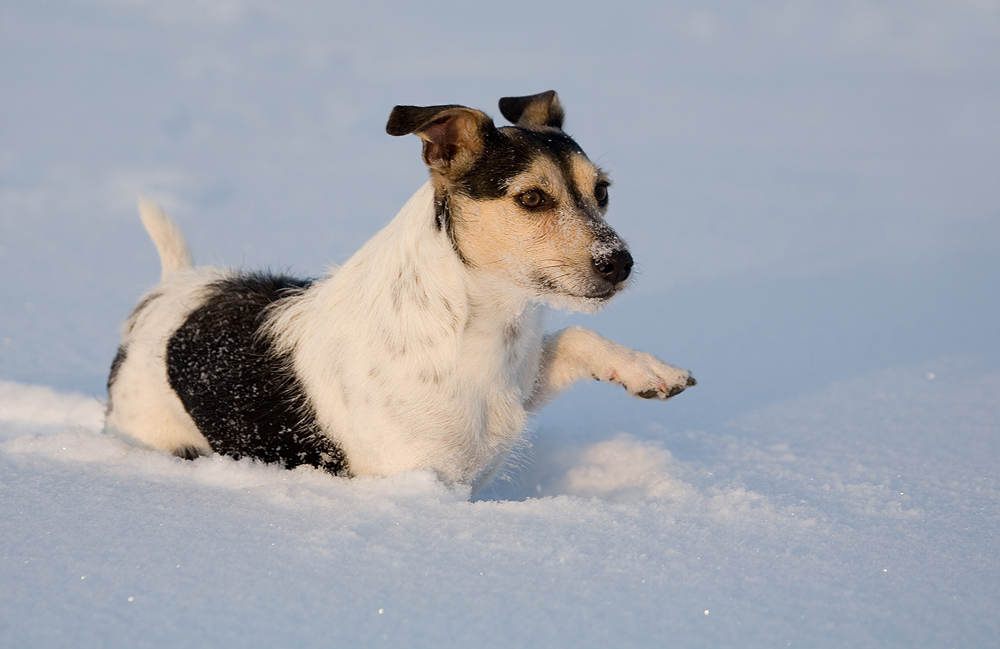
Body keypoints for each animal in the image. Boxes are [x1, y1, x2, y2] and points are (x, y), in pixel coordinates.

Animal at [105, 90, 692, 486]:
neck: (472, 329)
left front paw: (650, 370)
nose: (620, 263)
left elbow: (572, 338)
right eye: (531, 198)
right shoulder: (417, 481)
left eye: (603, 191)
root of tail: (173, 288)